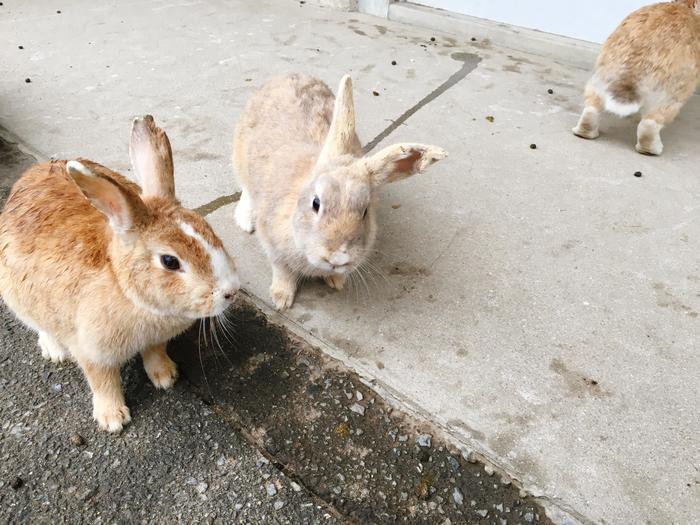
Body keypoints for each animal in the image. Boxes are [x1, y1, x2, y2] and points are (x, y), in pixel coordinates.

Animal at [0, 114, 241, 430]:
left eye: (209, 230)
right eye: (170, 261)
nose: (231, 291)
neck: (125, 287)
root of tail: (30, 174)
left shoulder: (155, 340)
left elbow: (155, 353)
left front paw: (166, 377)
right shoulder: (92, 351)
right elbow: (103, 382)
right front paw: (112, 419)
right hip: (18, 297)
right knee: (40, 325)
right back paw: (55, 351)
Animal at [232, 73, 446, 312]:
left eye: (365, 212)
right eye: (316, 203)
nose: (337, 258)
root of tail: (288, 74)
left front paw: (337, 281)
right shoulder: (273, 245)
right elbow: (282, 271)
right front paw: (281, 300)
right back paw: (245, 219)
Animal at [576, 0, 700, 155]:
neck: (687, 6)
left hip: (601, 80)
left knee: (592, 108)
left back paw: (585, 131)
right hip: (669, 97)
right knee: (650, 124)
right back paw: (652, 150)